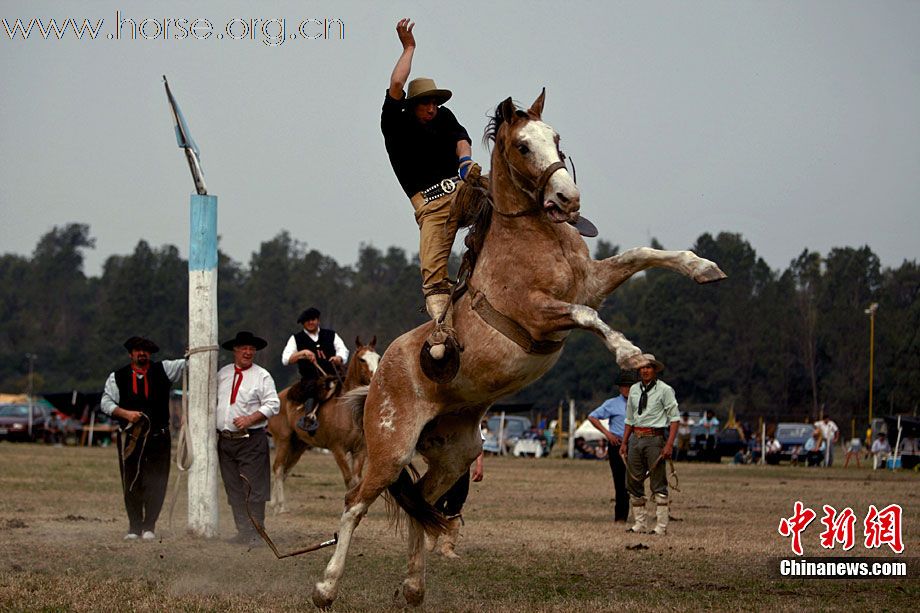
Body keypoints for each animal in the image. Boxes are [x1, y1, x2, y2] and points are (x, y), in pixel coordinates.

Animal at [266, 334, 380, 512]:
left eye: (378, 358)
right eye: (362, 359)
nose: (375, 379)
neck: (346, 408)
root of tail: (277, 398)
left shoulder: (360, 450)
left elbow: (356, 480)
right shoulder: (337, 449)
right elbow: (349, 479)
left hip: (298, 445)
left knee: (285, 469)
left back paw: (274, 503)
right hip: (283, 440)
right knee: (278, 468)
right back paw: (280, 506)